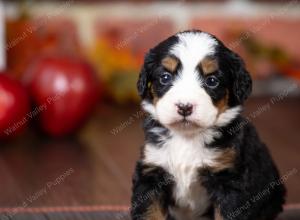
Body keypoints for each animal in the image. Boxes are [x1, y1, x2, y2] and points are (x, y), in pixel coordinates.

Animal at [131, 29, 286, 220]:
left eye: (212, 81)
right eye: (165, 77)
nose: (184, 106)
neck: (187, 137)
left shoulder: (228, 180)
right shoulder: (152, 172)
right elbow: (149, 212)